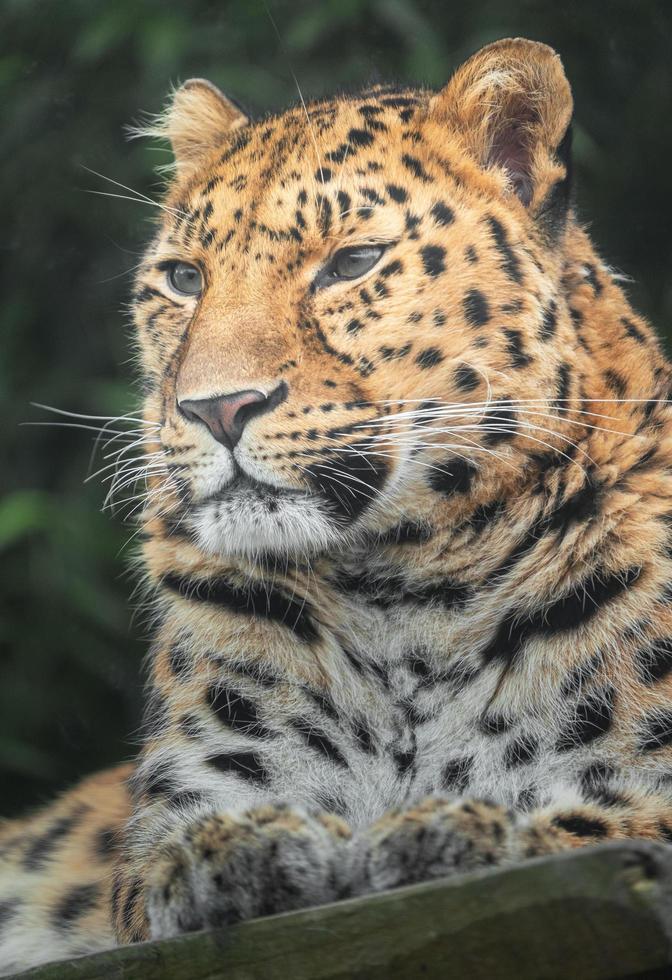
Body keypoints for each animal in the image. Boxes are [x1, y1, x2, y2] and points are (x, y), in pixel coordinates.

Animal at [1, 34, 672, 976]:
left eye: (353, 264)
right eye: (183, 278)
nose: (217, 409)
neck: (408, 590)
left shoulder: (645, 797)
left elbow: (596, 822)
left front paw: (457, 831)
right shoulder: (179, 812)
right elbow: (180, 848)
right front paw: (242, 849)